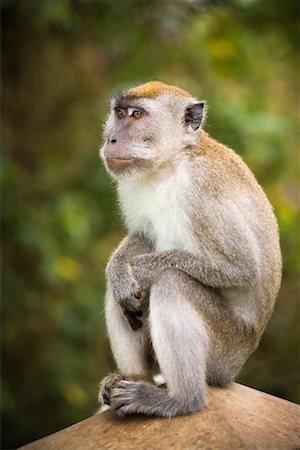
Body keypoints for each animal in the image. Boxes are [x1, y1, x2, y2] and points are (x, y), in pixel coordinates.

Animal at [98, 80, 282, 418]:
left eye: (137, 114)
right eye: (119, 113)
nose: (111, 139)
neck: (170, 164)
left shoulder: (202, 190)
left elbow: (242, 268)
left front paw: (140, 269)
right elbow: (143, 236)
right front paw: (119, 270)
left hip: (225, 353)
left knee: (173, 281)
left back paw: (181, 399)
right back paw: (133, 378)